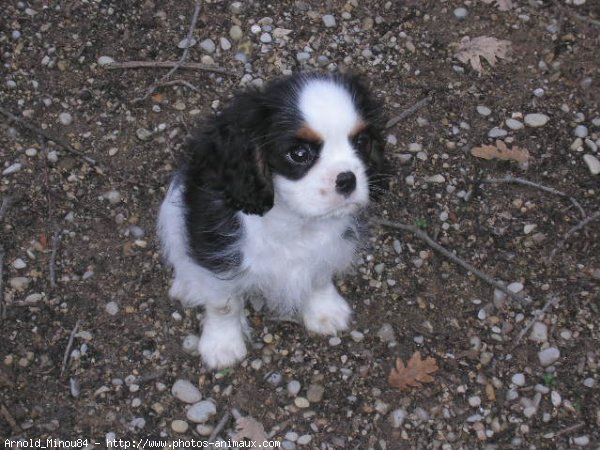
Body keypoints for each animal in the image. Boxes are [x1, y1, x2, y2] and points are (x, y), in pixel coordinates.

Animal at [157, 73, 386, 370]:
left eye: (361, 141)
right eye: (299, 154)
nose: (347, 179)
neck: (294, 218)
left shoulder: (328, 247)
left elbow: (320, 276)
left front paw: (325, 311)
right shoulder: (217, 248)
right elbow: (223, 303)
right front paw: (222, 345)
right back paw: (188, 284)